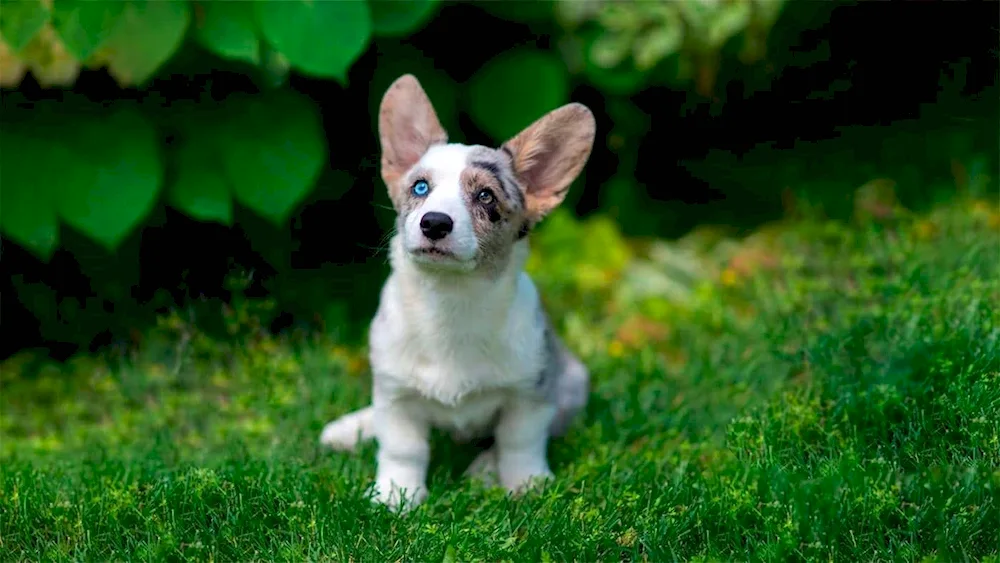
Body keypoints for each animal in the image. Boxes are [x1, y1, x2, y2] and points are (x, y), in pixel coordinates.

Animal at [322, 74, 592, 512]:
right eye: (420, 187)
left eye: (485, 196)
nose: (434, 223)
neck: (451, 303)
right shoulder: (396, 395)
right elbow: (402, 449)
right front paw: (395, 495)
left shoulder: (530, 395)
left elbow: (519, 443)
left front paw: (527, 484)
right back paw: (350, 429)